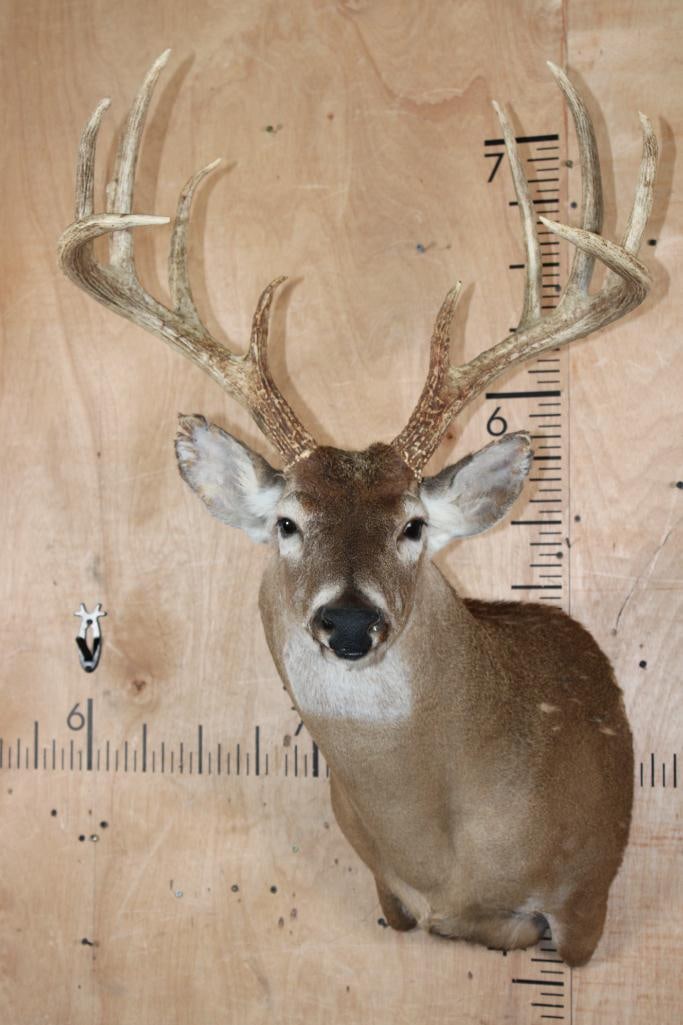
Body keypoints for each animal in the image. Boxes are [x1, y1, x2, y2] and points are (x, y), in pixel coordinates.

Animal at [58, 51, 657, 968]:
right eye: (286, 521)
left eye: (412, 524)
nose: (346, 620)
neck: (444, 848)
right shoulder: (390, 897)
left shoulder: (585, 895)